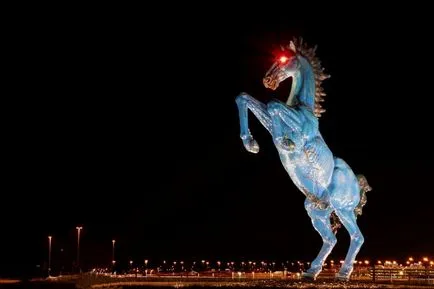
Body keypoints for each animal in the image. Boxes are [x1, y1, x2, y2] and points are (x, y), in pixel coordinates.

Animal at [236, 37, 372, 280]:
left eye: (283, 59)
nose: (268, 80)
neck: (303, 109)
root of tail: (358, 185)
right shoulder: (269, 119)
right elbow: (246, 99)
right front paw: (251, 144)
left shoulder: (295, 127)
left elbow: (273, 105)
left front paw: (285, 142)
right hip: (317, 209)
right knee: (330, 239)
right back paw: (311, 271)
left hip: (343, 209)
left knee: (357, 237)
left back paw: (343, 273)